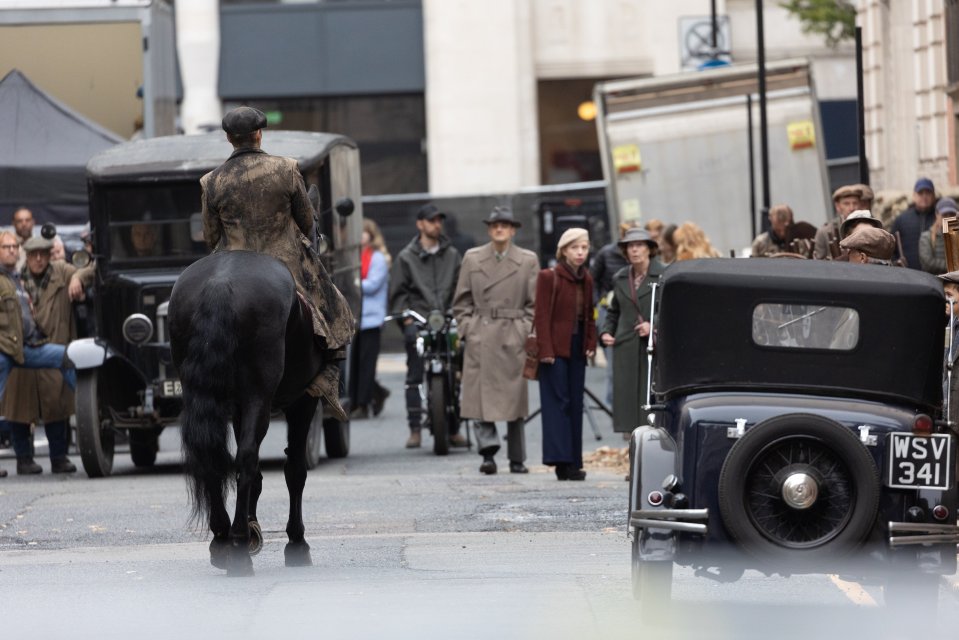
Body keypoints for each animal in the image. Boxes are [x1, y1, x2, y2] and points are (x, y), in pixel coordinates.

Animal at [171, 250, 324, 576]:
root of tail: (220, 281)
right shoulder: (305, 398)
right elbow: (295, 469)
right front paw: (296, 542)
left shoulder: (239, 406)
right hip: (260, 394)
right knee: (247, 455)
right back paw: (239, 545)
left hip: (201, 390)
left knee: (212, 455)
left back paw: (222, 537)